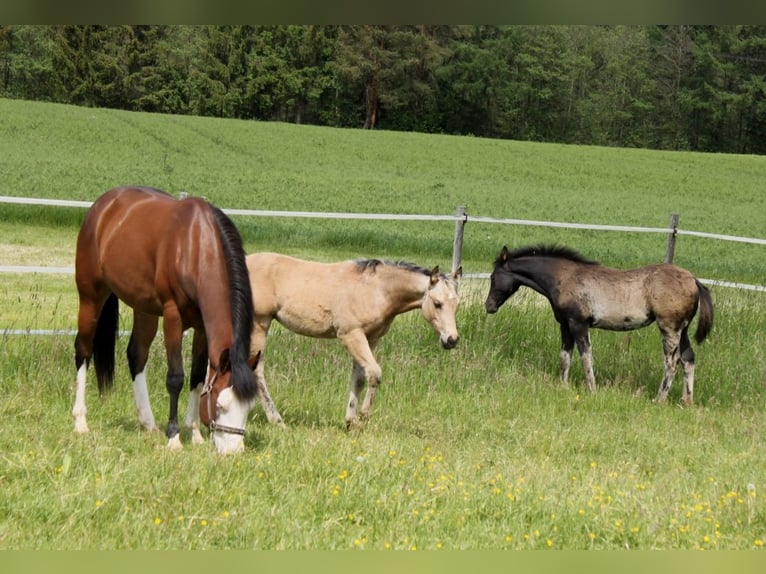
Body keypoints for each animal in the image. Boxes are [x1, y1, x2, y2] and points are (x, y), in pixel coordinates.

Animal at [72, 186, 258, 454]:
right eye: (220, 405)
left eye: (249, 407)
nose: (233, 451)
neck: (195, 247)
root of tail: (102, 206)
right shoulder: (173, 317)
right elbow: (176, 378)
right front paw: (174, 437)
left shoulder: (202, 327)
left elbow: (197, 377)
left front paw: (195, 433)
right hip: (90, 296)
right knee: (83, 350)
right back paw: (80, 421)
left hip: (145, 308)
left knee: (136, 354)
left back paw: (148, 422)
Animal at [244, 252, 462, 427]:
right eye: (437, 303)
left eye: (457, 304)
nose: (451, 340)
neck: (376, 290)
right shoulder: (351, 334)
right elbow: (374, 373)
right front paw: (364, 417)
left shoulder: (371, 338)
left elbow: (359, 378)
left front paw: (351, 421)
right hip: (260, 324)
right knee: (257, 371)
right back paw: (277, 421)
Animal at [485, 245, 713, 405]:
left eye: (494, 277)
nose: (489, 306)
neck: (564, 278)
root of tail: (693, 280)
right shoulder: (565, 325)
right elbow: (565, 357)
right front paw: (563, 387)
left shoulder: (578, 324)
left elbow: (586, 357)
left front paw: (592, 390)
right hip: (683, 329)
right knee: (688, 359)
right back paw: (686, 402)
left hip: (669, 327)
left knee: (672, 362)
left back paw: (659, 399)